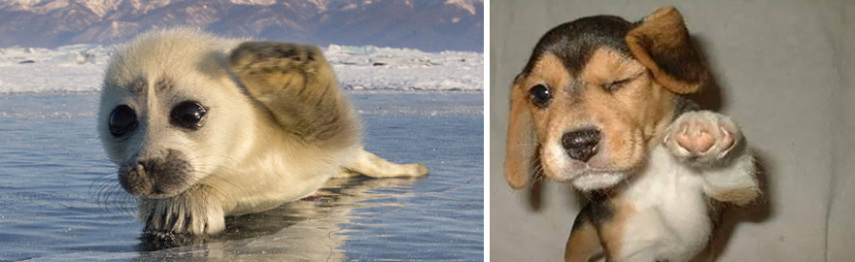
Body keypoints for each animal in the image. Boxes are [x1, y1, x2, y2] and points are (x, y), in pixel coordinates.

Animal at [504, 6, 760, 262]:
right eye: (540, 93)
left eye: (620, 81)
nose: (579, 143)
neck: (651, 176)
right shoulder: (631, 252)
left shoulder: (735, 189)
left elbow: (732, 170)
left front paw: (700, 126)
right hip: (580, 239)